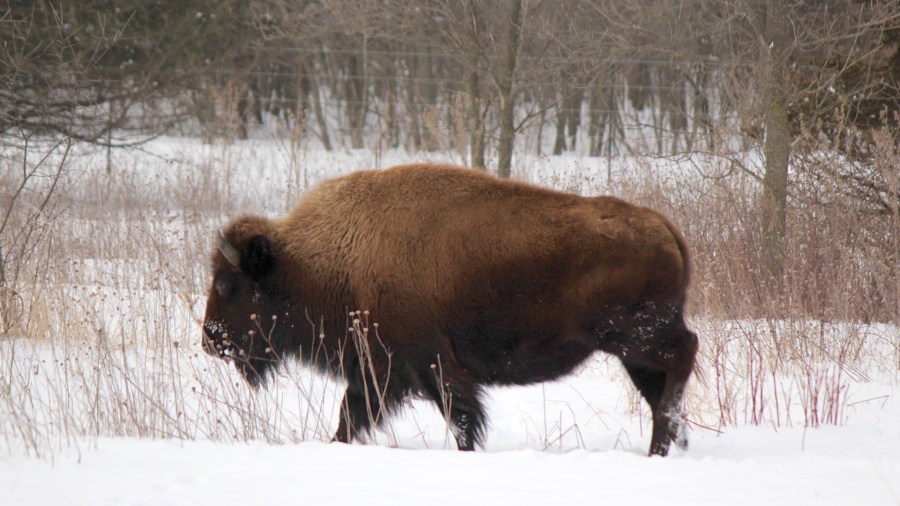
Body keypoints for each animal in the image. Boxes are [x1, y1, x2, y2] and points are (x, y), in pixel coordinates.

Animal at [202, 163, 697, 456]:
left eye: (228, 283)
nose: (210, 339)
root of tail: (665, 227)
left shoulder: (425, 365)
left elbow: (460, 418)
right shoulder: (379, 371)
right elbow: (350, 416)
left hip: (633, 336)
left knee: (682, 356)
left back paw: (663, 445)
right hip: (631, 351)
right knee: (661, 386)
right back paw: (673, 444)